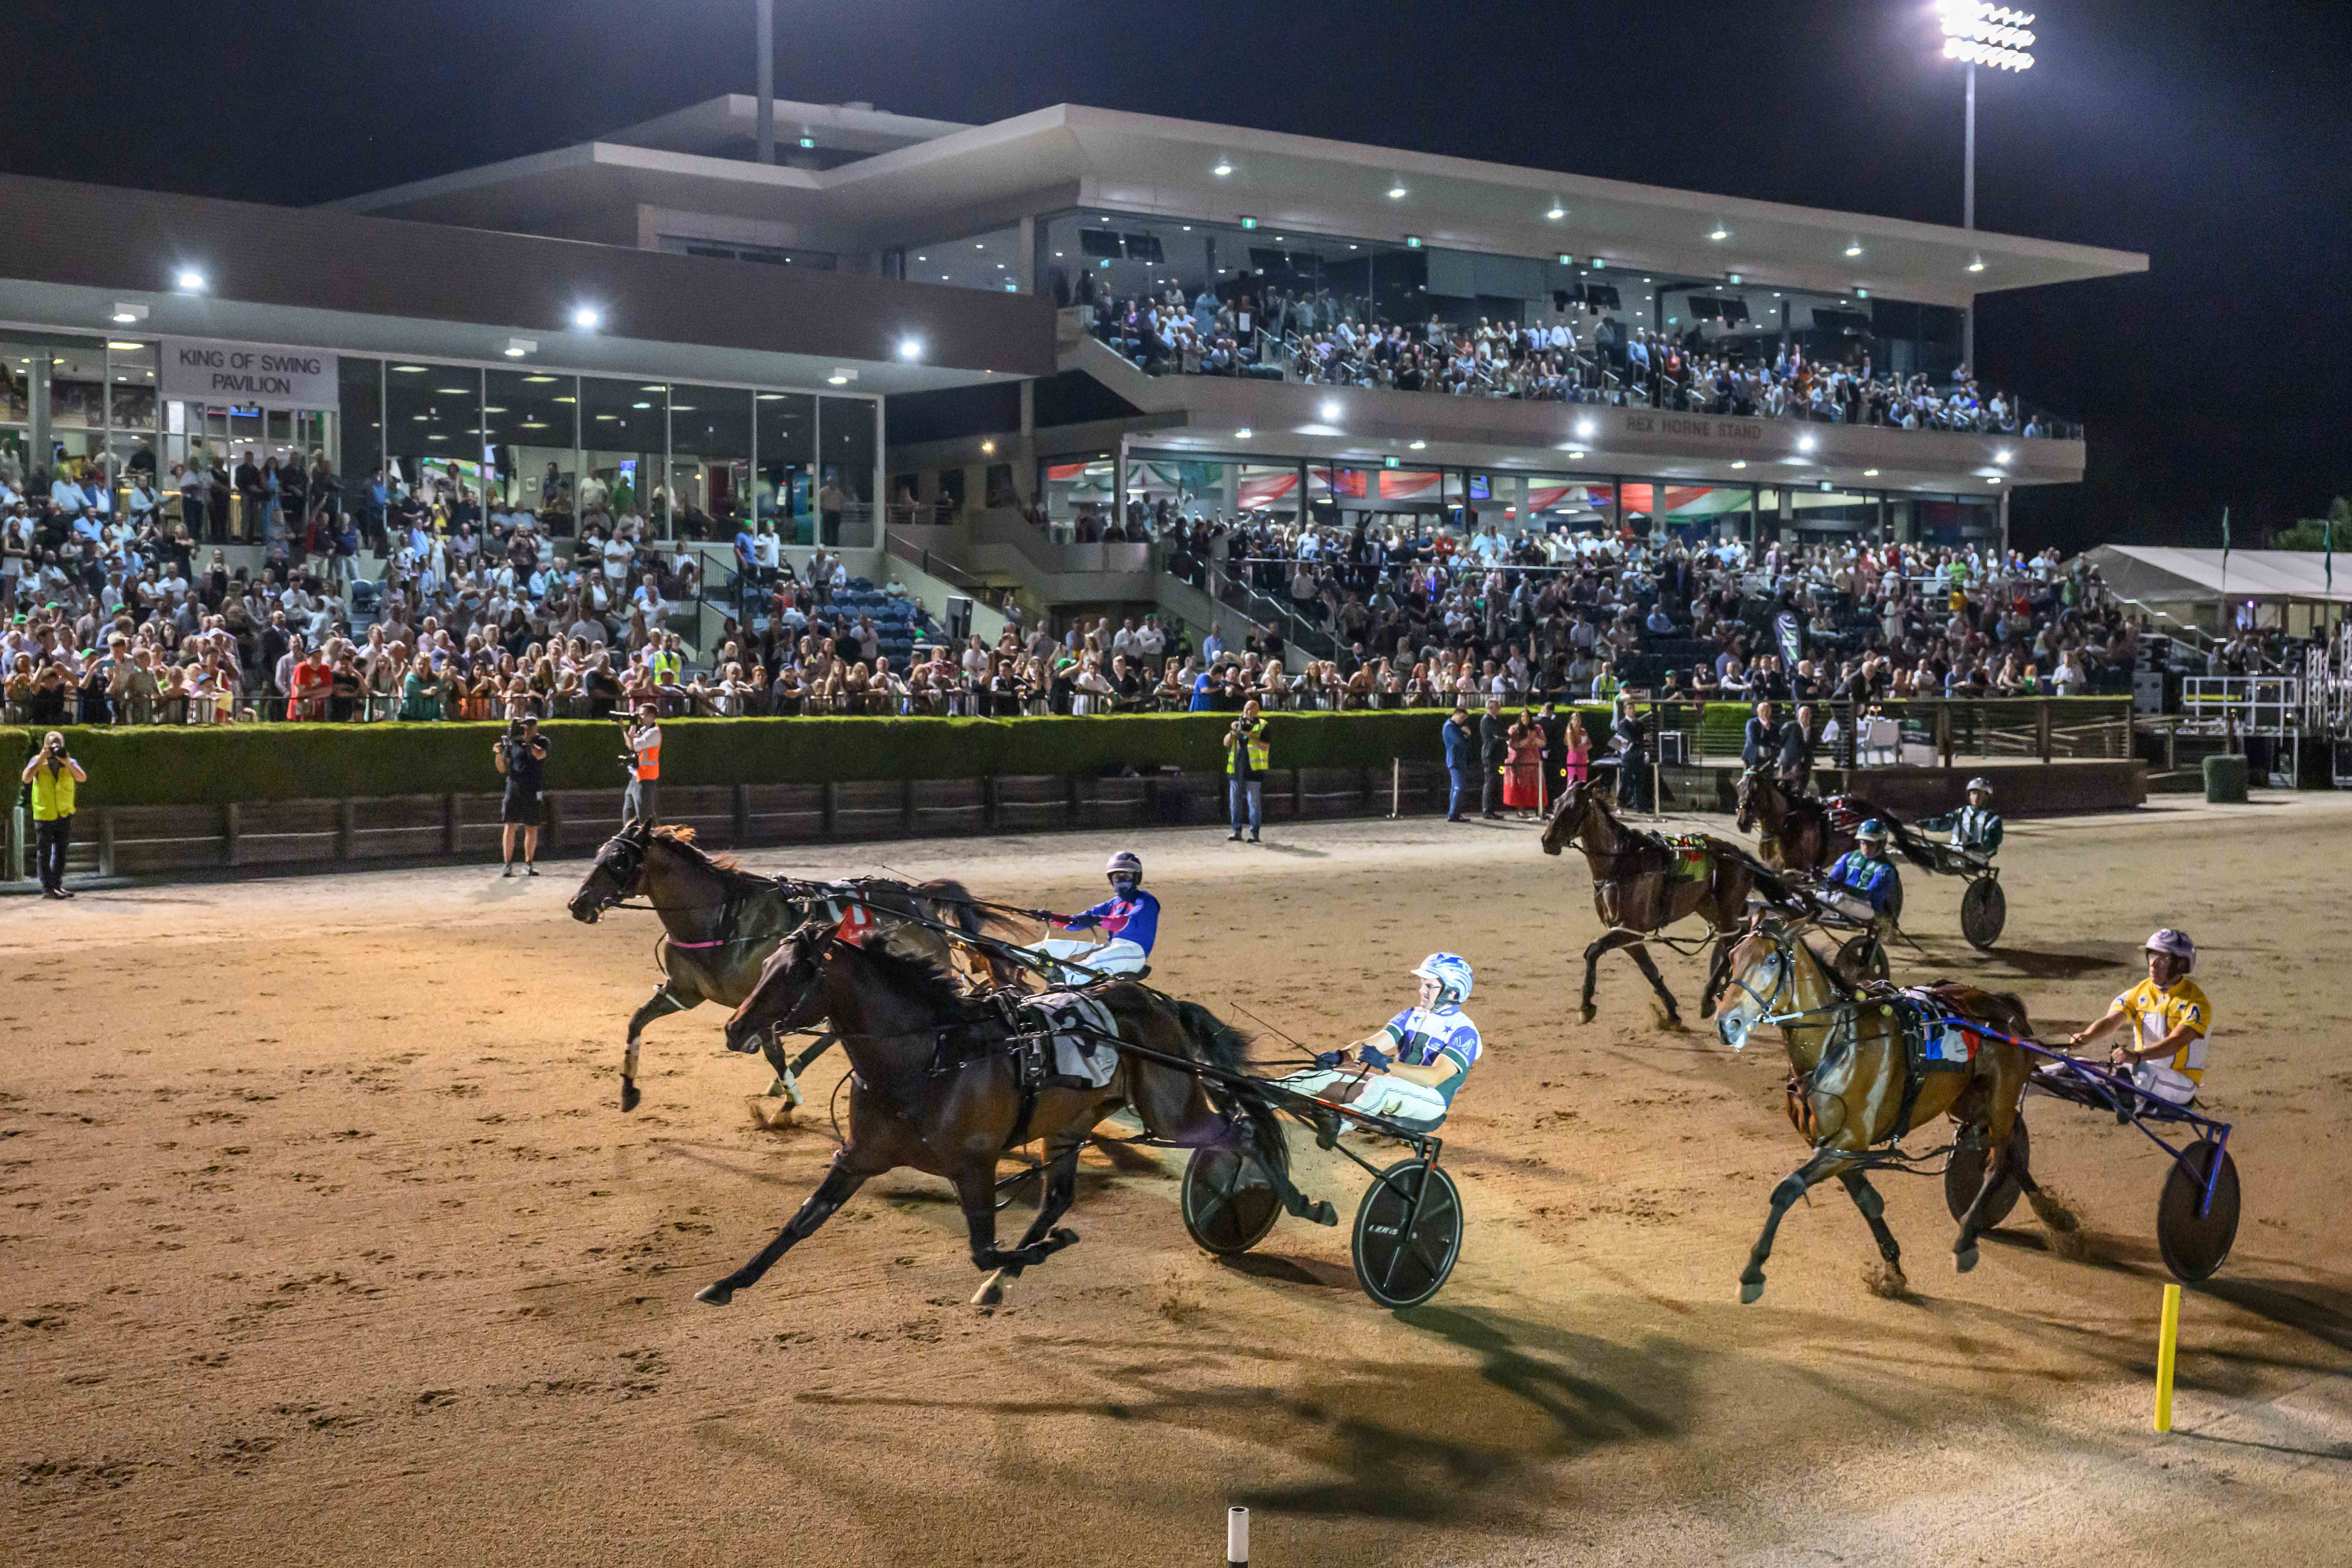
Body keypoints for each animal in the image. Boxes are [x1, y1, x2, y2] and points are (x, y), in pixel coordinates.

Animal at [572, 827, 1021, 1110]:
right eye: (598, 854)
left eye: (619, 861)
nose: (578, 904)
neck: (721, 918)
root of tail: (919, 900)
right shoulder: (685, 993)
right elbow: (636, 1021)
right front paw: (628, 1092)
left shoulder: (769, 999)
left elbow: (772, 1050)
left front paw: (790, 1097)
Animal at [696, 921, 1289, 1316]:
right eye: (766, 966)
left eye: (795, 973)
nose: (734, 1027)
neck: (929, 1057)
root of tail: (1159, 1002)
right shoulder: (861, 1156)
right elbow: (803, 1221)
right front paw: (726, 1283)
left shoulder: (974, 1166)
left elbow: (983, 1250)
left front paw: (1042, 1251)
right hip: (1071, 1122)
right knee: (1057, 1197)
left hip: (1170, 1111)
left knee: (1239, 1131)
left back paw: (1270, 1190)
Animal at [1543, 775, 1778, 1025]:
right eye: (1556, 803)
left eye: (1573, 808)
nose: (1547, 841)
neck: (1620, 865)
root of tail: (1739, 855)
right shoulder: (1629, 935)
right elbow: (1650, 970)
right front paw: (1672, 1011)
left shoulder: (1628, 930)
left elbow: (1593, 951)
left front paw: (1586, 1006)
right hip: (1710, 908)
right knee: (1736, 937)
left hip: (1727, 909)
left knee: (1735, 942)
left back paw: (1708, 998)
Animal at [1712, 912, 2079, 1307]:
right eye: (1732, 956)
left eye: (1771, 960)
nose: (1727, 1022)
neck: (1836, 1042)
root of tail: (2005, 1008)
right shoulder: (1835, 1147)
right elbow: (1868, 1201)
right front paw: (1893, 1271)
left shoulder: (1847, 1143)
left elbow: (1787, 1189)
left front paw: (1752, 1272)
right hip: (1969, 1100)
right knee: (2012, 1155)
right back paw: (2055, 1218)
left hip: (2000, 1098)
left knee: (1998, 1163)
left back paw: (1967, 1238)